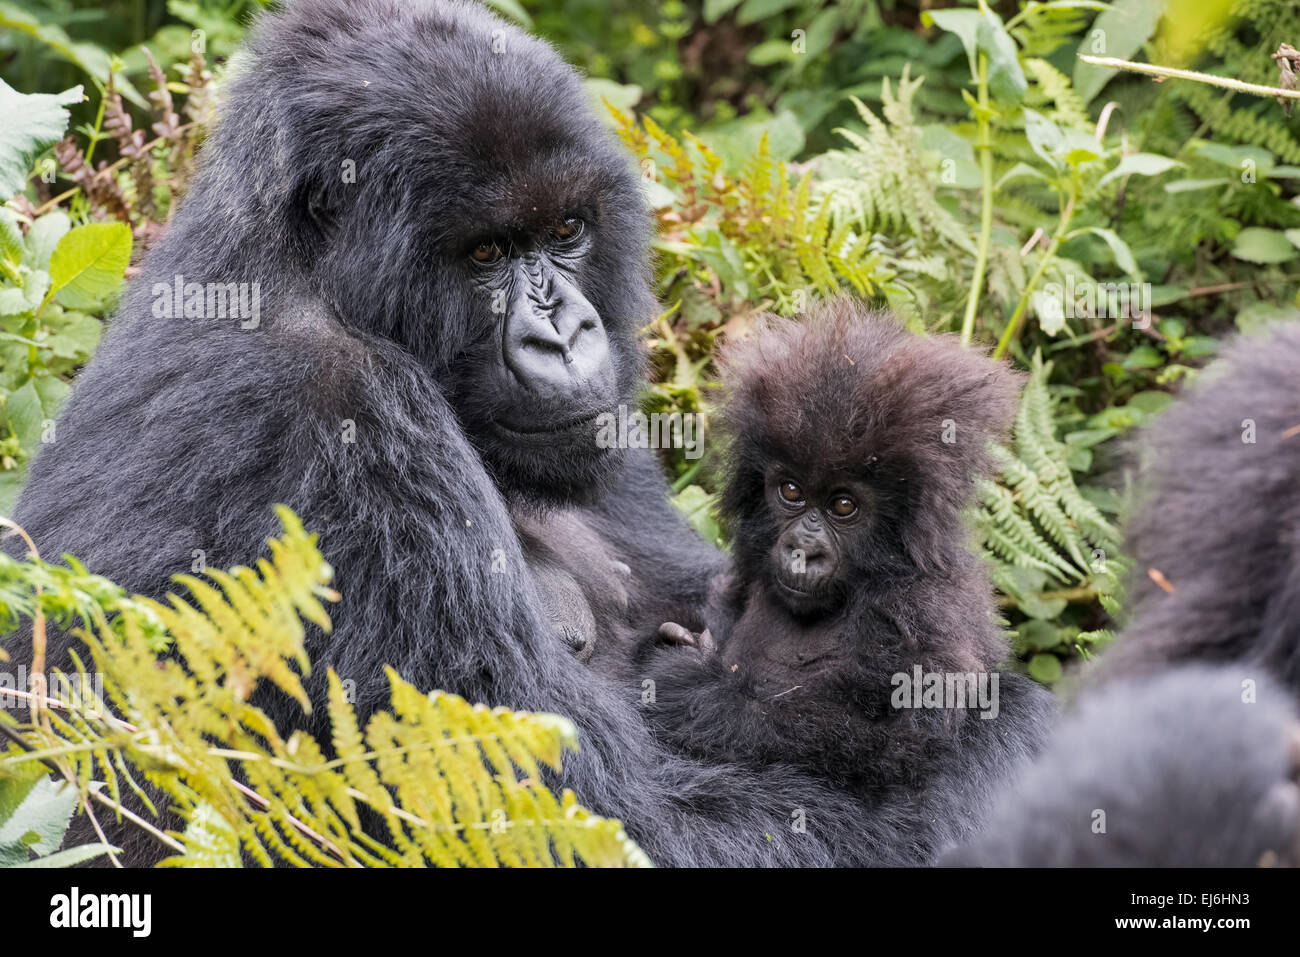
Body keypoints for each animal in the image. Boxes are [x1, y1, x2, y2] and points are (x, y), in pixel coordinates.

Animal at [642, 304, 1055, 821]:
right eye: (791, 491)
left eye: (843, 506)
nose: (804, 547)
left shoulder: (926, 611)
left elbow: (892, 744)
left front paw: (684, 681)